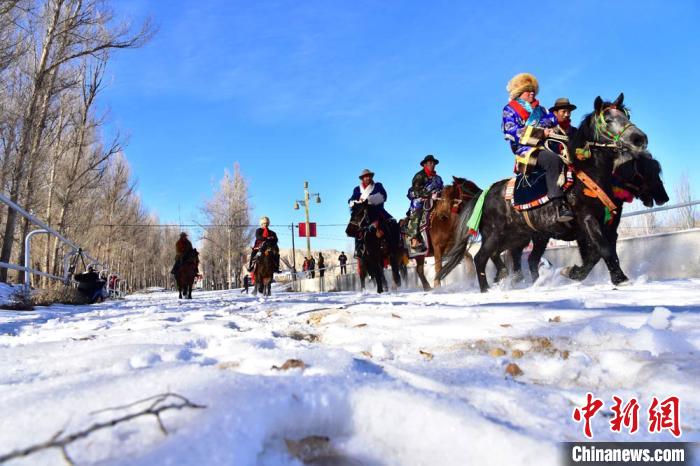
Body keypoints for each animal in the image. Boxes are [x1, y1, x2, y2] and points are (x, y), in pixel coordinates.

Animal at [438, 94, 649, 292]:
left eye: (626, 115)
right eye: (608, 119)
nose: (639, 139)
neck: (590, 174)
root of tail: (486, 194)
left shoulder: (609, 224)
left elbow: (599, 253)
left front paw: (574, 272)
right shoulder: (588, 220)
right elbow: (602, 249)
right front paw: (619, 279)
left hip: (525, 237)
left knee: (524, 259)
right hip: (495, 234)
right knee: (482, 257)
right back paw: (487, 289)